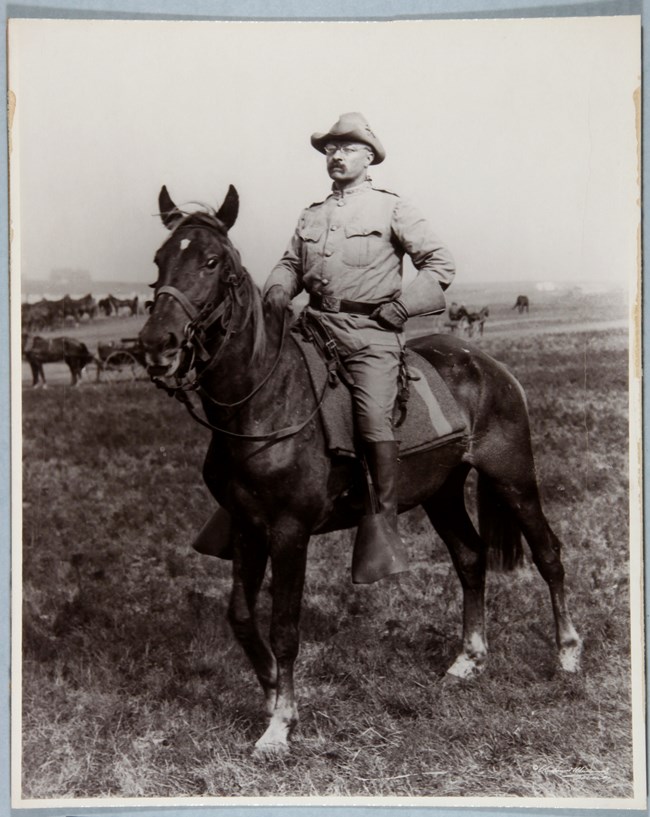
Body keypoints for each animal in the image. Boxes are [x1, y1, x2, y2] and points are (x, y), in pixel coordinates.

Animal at [138, 183, 584, 752]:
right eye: (160, 259)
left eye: (212, 261)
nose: (156, 345)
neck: (265, 400)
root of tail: (490, 366)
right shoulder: (246, 527)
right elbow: (240, 616)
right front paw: (270, 695)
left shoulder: (289, 532)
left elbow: (285, 626)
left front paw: (281, 725)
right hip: (442, 493)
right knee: (470, 558)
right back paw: (468, 660)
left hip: (513, 478)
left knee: (548, 554)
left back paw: (567, 654)